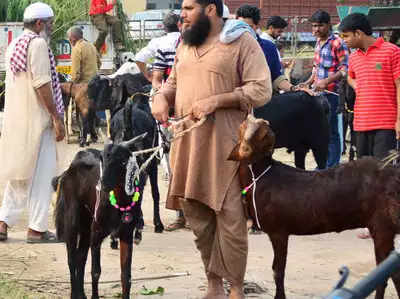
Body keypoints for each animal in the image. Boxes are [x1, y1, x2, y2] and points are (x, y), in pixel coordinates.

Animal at [228, 115, 400, 299]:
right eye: (245, 126)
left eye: (261, 133)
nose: (259, 120)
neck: (260, 176)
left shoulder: (278, 231)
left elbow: (277, 270)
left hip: (382, 226)